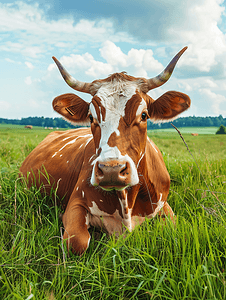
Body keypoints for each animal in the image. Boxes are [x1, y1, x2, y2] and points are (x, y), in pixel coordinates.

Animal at [19, 46, 191, 253]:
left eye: (144, 115)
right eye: (91, 117)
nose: (111, 170)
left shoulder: (165, 206)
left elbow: (173, 230)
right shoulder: (76, 203)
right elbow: (77, 242)